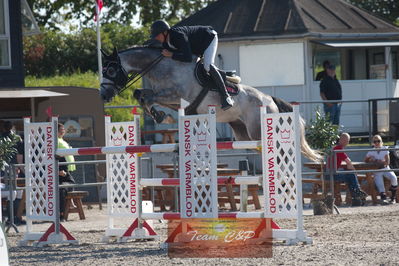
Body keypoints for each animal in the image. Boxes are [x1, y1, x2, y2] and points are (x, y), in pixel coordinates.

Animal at [101, 45, 324, 162]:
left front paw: (161, 116)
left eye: (111, 70)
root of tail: (270, 100)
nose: (104, 94)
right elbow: (141, 94)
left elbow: (148, 98)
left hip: (258, 131)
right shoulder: (168, 97)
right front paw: (160, 115)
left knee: (280, 150)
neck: (163, 67)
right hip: (242, 133)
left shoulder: (176, 96)